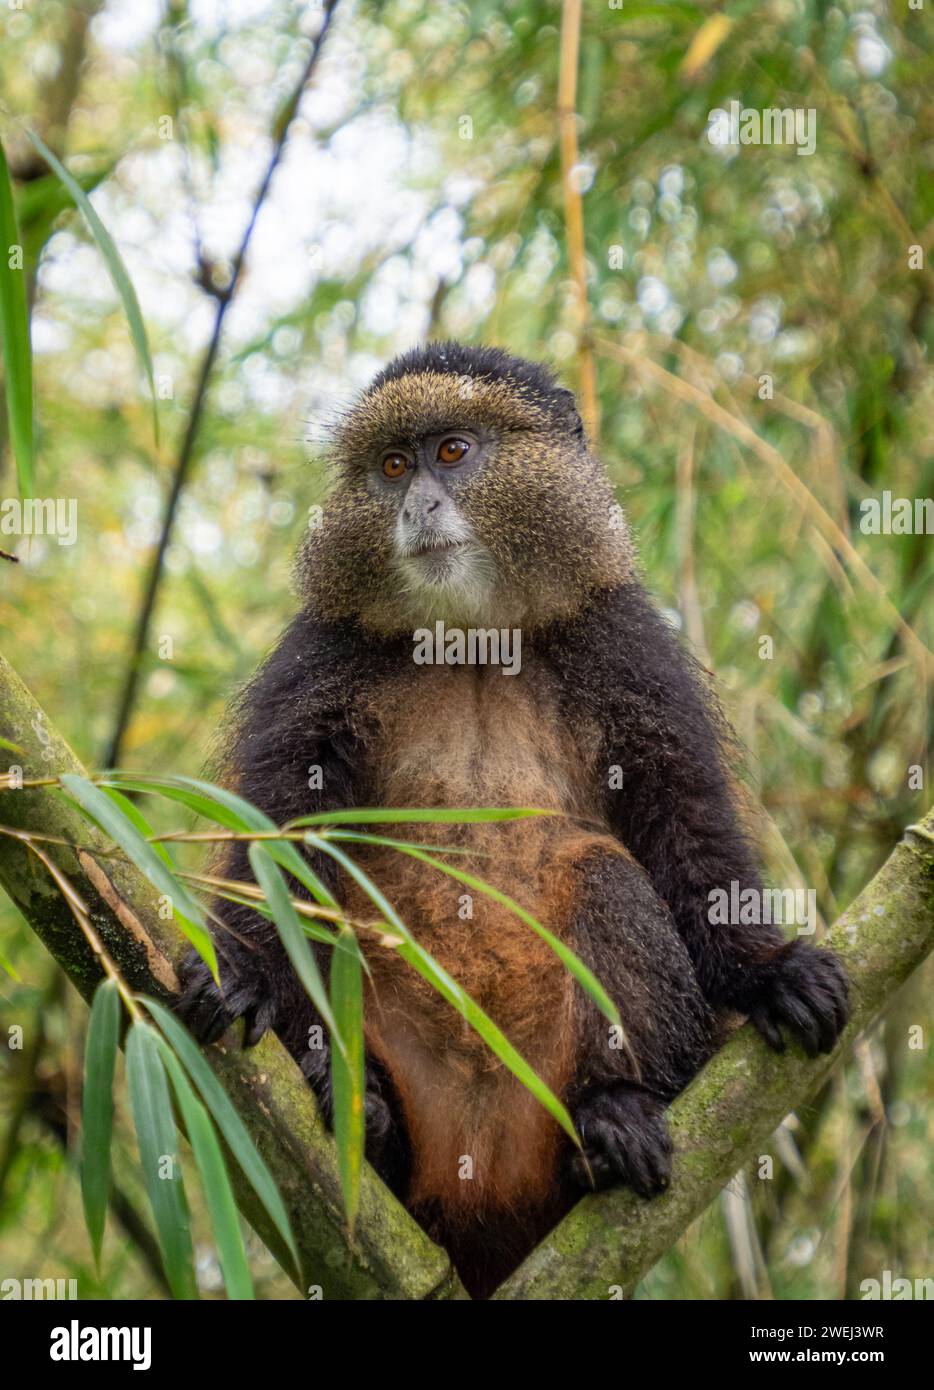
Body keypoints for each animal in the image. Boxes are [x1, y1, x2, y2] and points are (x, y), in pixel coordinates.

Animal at [178, 342, 849, 1298]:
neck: (473, 637)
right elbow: (284, 834)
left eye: (453, 452)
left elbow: (684, 819)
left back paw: (610, 1123)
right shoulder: (322, 658)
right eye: (393, 467)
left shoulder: (625, 643)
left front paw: (769, 971)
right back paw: (366, 1116)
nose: (417, 506)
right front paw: (240, 971)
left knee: (605, 877)